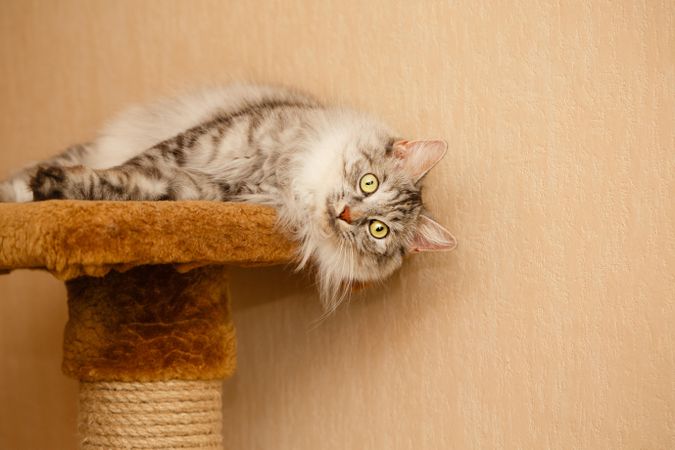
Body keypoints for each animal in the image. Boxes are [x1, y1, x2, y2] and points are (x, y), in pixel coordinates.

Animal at [0, 82, 460, 312]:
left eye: (378, 230)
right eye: (368, 183)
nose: (347, 214)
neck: (282, 178)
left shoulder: (199, 191)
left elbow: (124, 187)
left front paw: (66, 190)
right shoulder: (189, 147)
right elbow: (124, 170)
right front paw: (40, 190)